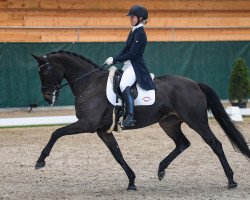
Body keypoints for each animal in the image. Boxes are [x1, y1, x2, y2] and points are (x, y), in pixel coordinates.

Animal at [32, 50, 249, 190]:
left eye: (43, 72)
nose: (48, 97)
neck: (89, 84)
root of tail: (195, 83)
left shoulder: (88, 124)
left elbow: (56, 132)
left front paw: (41, 161)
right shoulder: (102, 130)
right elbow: (117, 154)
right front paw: (131, 181)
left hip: (197, 121)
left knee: (215, 144)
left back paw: (231, 181)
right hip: (169, 123)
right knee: (182, 143)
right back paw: (161, 170)